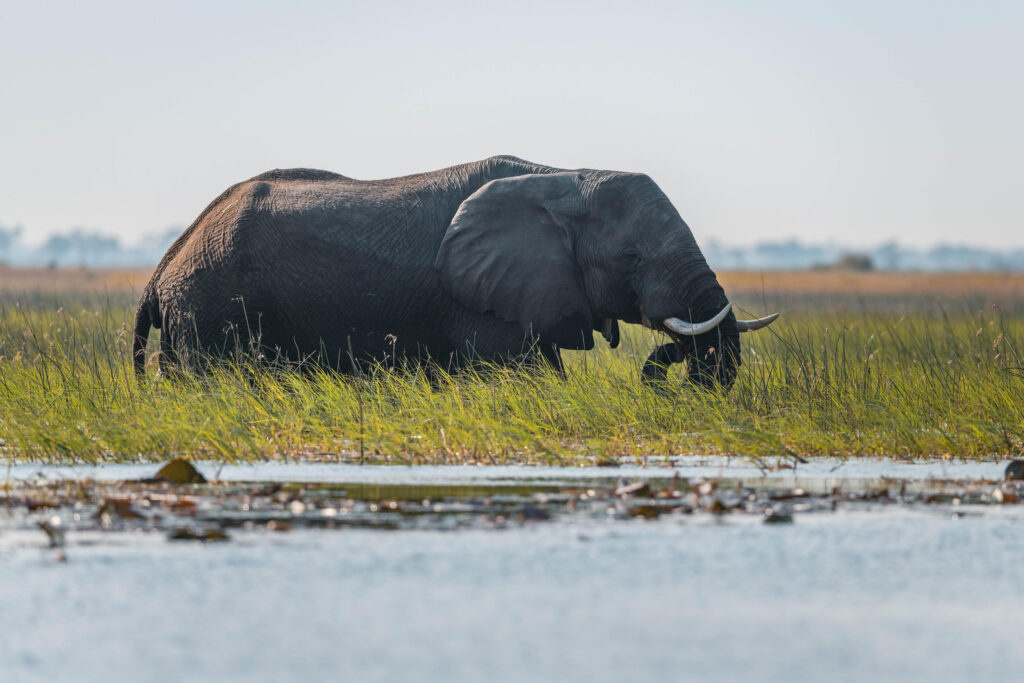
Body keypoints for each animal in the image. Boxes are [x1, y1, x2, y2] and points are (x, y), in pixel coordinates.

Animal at [132, 155, 777, 387]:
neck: (565, 175)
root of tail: (163, 267)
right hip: (211, 307)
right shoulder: (482, 302)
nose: (670, 363)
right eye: (632, 259)